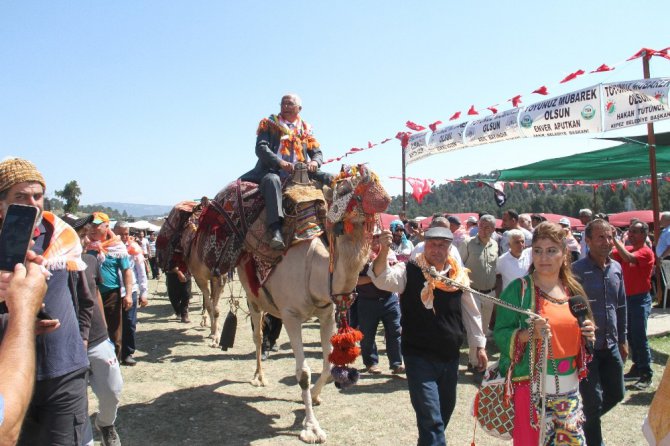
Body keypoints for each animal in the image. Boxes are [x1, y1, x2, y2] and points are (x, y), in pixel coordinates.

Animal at [239, 166, 392, 442]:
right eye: (343, 188)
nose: (370, 179)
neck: (316, 271)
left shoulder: (327, 312)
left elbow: (329, 364)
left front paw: (315, 397)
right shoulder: (291, 315)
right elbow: (303, 373)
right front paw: (312, 428)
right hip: (252, 296)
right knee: (257, 335)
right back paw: (259, 377)